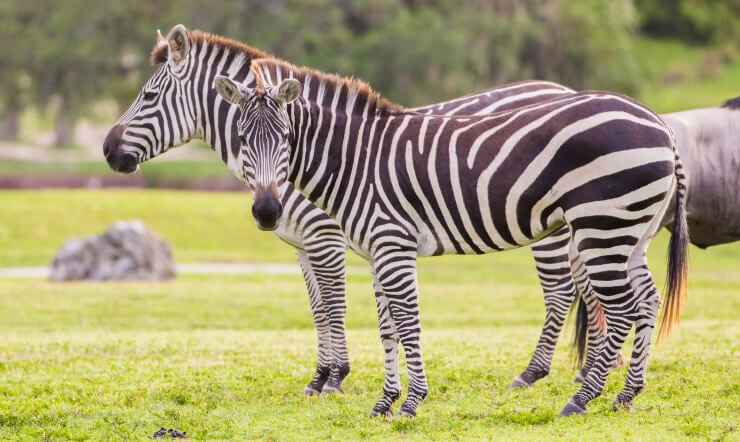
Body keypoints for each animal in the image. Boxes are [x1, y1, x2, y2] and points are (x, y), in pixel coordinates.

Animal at [103, 24, 612, 394]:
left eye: (148, 97)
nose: (107, 151)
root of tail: (565, 87)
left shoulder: (325, 237)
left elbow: (334, 305)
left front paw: (335, 377)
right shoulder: (301, 243)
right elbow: (317, 309)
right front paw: (318, 376)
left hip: (556, 227)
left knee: (562, 292)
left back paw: (534, 373)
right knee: (591, 290)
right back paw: (588, 375)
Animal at [214, 58, 689, 417]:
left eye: (286, 138)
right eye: (240, 138)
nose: (267, 211)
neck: (355, 161)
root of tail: (659, 123)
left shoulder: (392, 244)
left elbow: (407, 322)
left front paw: (411, 403)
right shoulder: (376, 251)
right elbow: (387, 328)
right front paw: (385, 403)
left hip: (601, 226)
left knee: (622, 308)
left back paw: (581, 398)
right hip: (632, 231)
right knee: (647, 299)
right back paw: (626, 395)